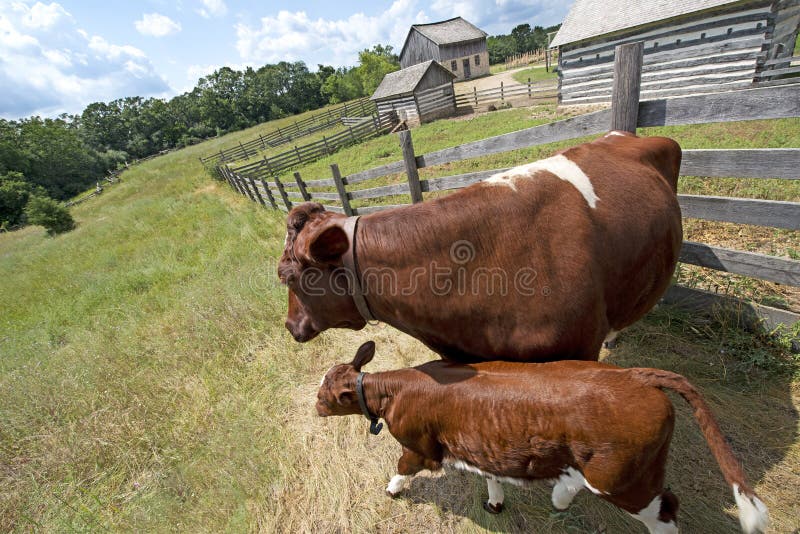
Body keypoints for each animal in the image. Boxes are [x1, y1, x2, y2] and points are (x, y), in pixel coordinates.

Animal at [318, 344, 768, 534]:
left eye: (325, 394)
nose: (315, 407)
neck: (396, 389)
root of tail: (634, 375)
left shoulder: (421, 446)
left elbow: (402, 467)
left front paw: (391, 491)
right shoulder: (481, 440)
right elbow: (490, 475)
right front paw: (495, 503)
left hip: (621, 479)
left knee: (666, 511)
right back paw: (562, 494)